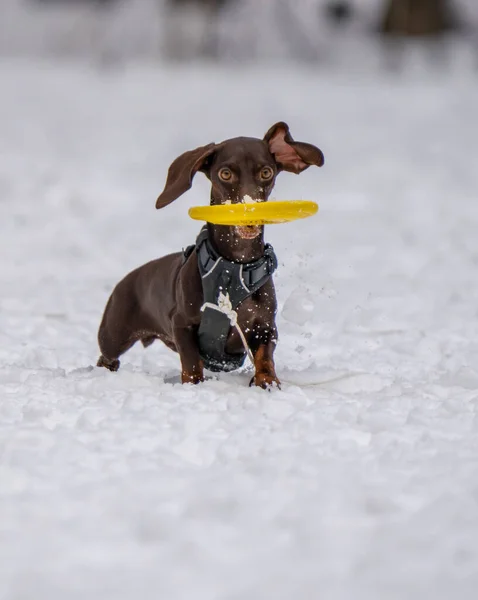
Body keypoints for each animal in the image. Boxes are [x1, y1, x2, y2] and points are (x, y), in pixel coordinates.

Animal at [95, 122, 324, 390]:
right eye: (225, 174)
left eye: (266, 172)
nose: (250, 217)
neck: (232, 269)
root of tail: (126, 280)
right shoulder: (181, 324)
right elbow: (191, 362)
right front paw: (193, 386)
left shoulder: (266, 327)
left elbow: (265, 356)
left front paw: (267, 381)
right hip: (113, 335)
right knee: (106, 356)